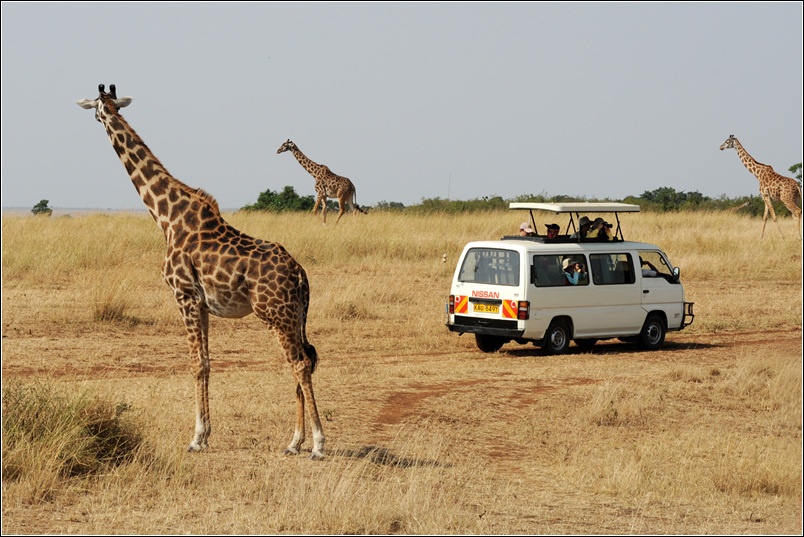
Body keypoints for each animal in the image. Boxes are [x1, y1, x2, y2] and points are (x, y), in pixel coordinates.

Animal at [77, 82, 324, 456]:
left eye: (97, 109)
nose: (98, 118)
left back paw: (318, 443)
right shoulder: (204, 303)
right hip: (294, 314)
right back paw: (294, 442)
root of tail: (300, 275)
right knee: (305, 359)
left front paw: (195, 438)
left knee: (297, 363)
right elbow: (207, 362)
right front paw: (205, 434)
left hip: (274, 313)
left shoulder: (184, 294)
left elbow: (195, 362)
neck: (166, 217)